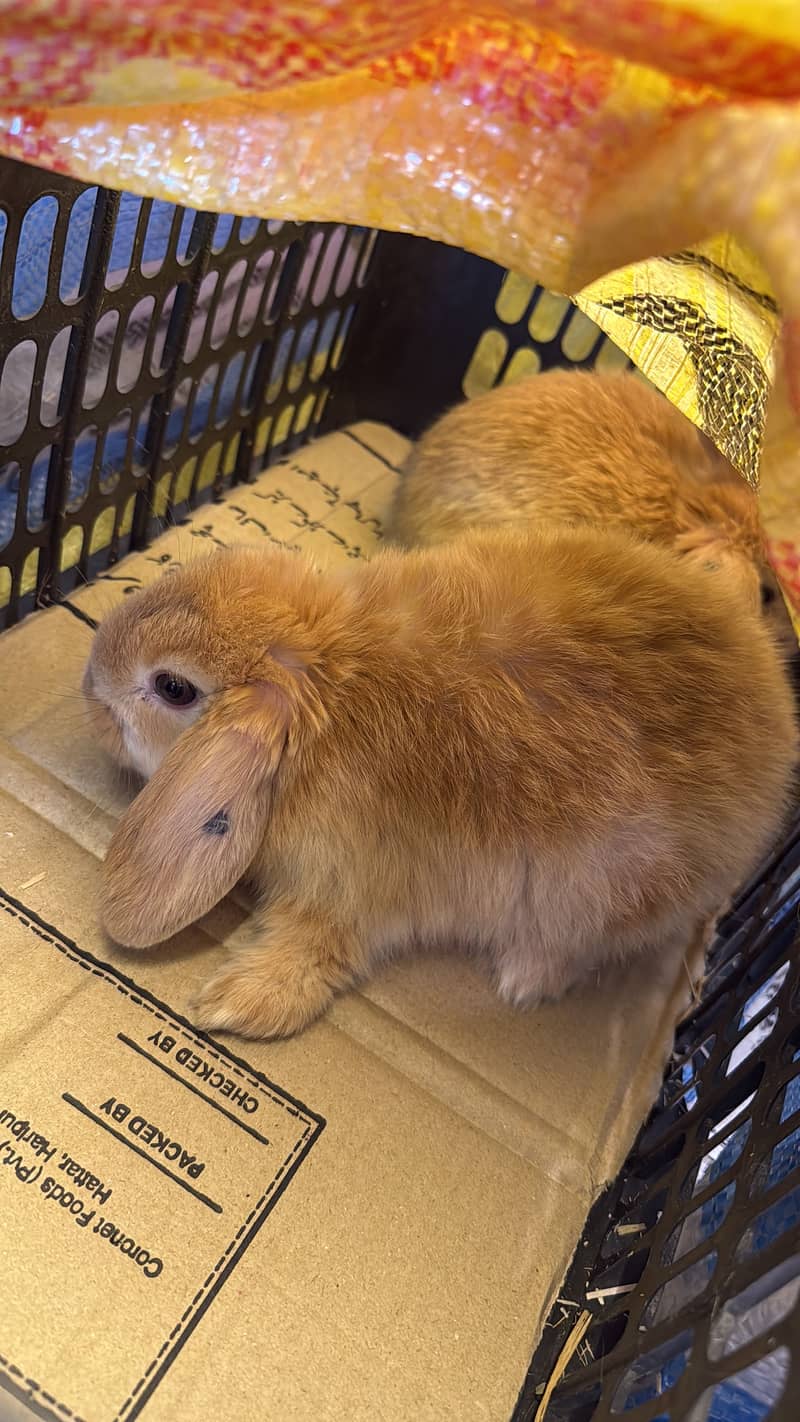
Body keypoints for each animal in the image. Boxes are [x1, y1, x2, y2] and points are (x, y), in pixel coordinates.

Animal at [83, 527, 797, 1041]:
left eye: (173, 687)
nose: (88, 689)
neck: (326, 680)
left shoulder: (349, 891)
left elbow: (316, 954)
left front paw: (227, 1005)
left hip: (601, 900)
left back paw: (523, 981)